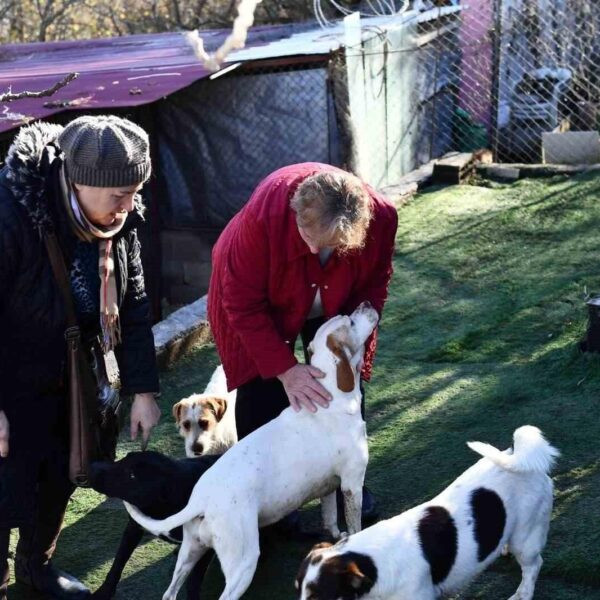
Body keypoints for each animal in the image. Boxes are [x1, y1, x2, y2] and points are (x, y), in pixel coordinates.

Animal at [88, 452, 221, 596]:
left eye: (132, 475)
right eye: (124, 458)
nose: (92, 467)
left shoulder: (205, 547)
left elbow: (193, 582)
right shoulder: (133, 528)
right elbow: (118, 561)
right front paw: (105, 590)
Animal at [126, 302, 380, 600]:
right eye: (350, 322)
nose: (366, 303)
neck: (332, 395)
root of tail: (201, 498)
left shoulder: (329, 486)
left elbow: (330, 520)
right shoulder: (352, 482)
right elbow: (355, 524)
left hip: (191, 551)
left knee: (170, 592)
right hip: (242, 560)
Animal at [298, 424, 560, 600]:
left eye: (318, 598)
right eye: (296, 589)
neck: (375, 563)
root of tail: (522, 461)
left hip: (526, 539)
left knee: (533, 566)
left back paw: (523, 593)